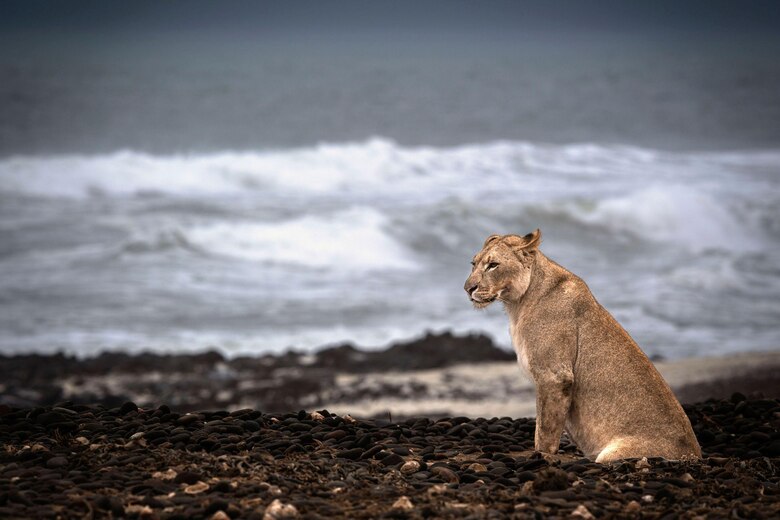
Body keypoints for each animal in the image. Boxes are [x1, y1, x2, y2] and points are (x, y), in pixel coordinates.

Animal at [464, 230, 701, 462]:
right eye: (473, 263)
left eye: (493, 265)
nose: (468, 289)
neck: (517, 305)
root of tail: (694, 454)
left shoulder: (555, 376)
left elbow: (545, 429)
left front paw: (541, 456)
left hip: (612, 453)